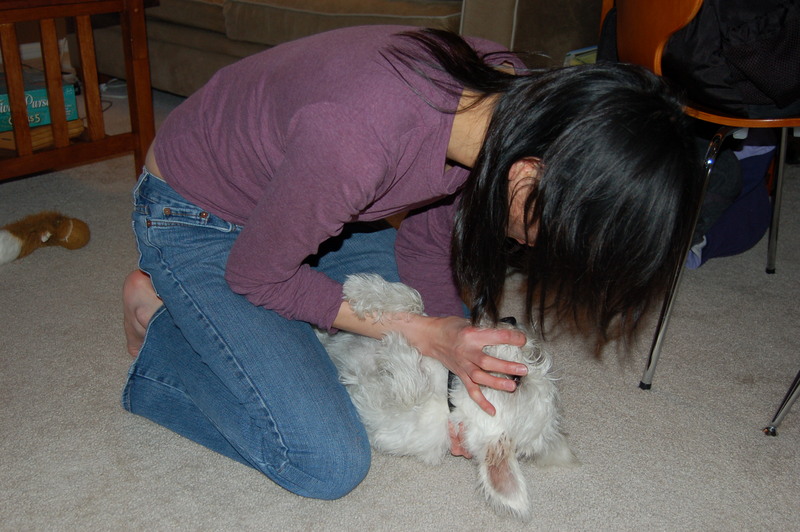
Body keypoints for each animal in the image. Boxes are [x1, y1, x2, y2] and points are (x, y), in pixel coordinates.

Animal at [316, 274, 576, 520]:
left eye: (516, 381)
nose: (510, 319)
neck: (446, 393)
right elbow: (415, 301)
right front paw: (363, 288)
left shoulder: (385, 416)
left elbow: (410, 386)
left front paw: (396, 346)